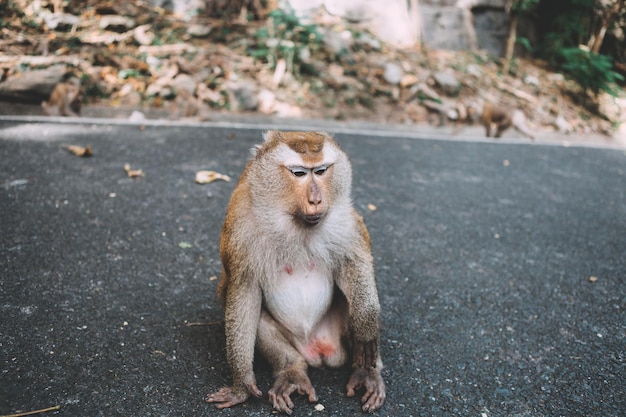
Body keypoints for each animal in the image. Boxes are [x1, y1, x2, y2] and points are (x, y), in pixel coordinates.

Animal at [206, 130, 386, 412]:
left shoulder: (345, 219)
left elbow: (355, 262)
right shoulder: (239, 226)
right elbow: (244, 292)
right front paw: (242, 384)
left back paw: (366, 373)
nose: (316, 199)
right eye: (299, 173)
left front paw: (366, 325)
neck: (293, 221)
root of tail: (319, 350)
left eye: (321, 171)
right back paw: (292, 371)